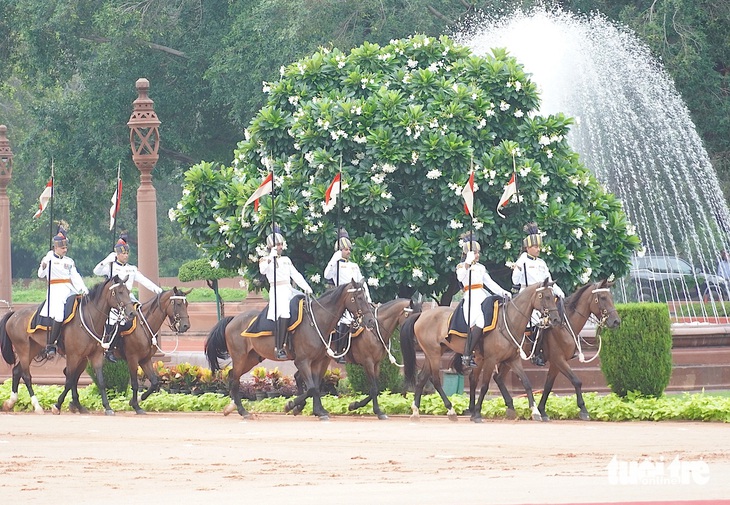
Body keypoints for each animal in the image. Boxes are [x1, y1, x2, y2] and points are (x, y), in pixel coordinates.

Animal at [1, 276, 136, 414]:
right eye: (119, 292)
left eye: (128, 291)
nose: (132, 313)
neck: (90, 318)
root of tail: (14, 314)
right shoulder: (73, 356)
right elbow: (69, 380)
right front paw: (57, 405)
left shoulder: (95, 355)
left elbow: (100, 381)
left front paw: (107, 407)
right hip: (23, 348)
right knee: (26, 375)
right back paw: (37, 406)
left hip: (33, 348)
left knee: (17, 371)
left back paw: (10, 402)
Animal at [205, 280, 376, 422]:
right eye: (358, 297)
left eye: (366, 296)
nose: (370, 321)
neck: (316, 321)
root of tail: (233, 319)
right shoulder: (302, 361)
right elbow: (311, 387)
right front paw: (296, 406)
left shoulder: (318, 361)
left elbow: (315, 386)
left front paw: (316, 410)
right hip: (240, 357)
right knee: (234, 380)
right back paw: (242, 411)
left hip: (251, 359)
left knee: (232, 375)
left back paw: (231, 407)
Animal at [398, 280, 556, 422]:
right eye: (546, 296)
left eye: (553, 296)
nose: (554, 318)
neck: (509, 322)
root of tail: (421, 315)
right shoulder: (491, 360)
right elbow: (484, 386)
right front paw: (478, 413)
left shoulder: (512, 360)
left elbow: (527, 383)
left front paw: (535, 411)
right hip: (434, 354)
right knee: (436, 380)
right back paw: (450, 410)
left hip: (432, 353)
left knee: (422, 378)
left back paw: (416, 411)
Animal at [484, 280, 620, 422]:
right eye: (603, 297)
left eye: (611, 297)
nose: (616, 321)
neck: (565, 324)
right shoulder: (558, 359)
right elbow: (576, 381)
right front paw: (583, 409)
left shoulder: (556, 363)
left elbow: (548, 386)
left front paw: (542, 410)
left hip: (507, 358)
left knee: (498, 377)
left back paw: (510, 406)